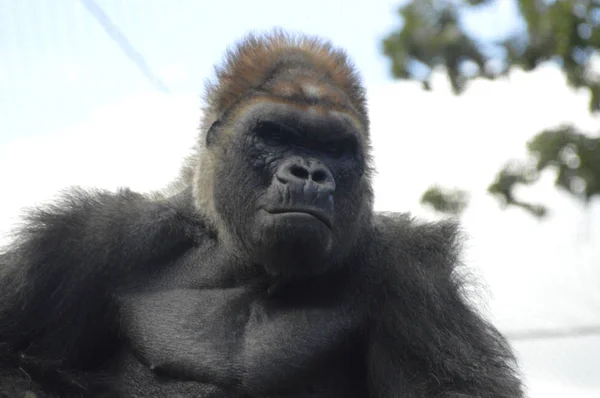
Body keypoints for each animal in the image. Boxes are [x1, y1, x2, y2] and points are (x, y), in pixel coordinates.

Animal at [0, 31, 524, 398]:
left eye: (335, 148)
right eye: (275, 134)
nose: (310, 172)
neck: (241, 257)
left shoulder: (414, 278)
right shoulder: (83, 241)